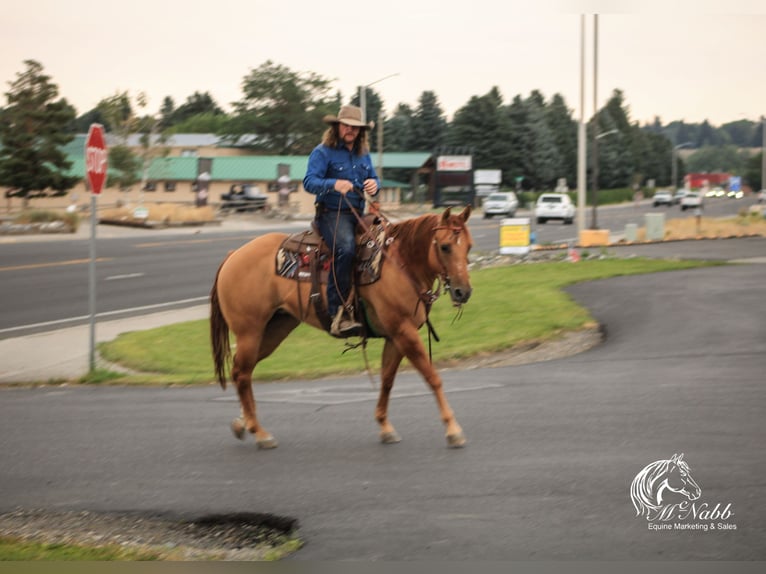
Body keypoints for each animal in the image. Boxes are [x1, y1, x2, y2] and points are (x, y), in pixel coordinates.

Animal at [210, 206, 474, 450]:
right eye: (445, 247)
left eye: (469, 247)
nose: (463, 291)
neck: (399, 264)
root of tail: (233, 255)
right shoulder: (404, 331)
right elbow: (432, 377)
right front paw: (453, 430)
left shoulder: (395, 336)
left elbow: (387, 379)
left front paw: (385, 426)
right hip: (250, 332)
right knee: (242, 372)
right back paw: (260, 433)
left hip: (275, 329)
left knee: (242, 371)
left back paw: (243, 423)